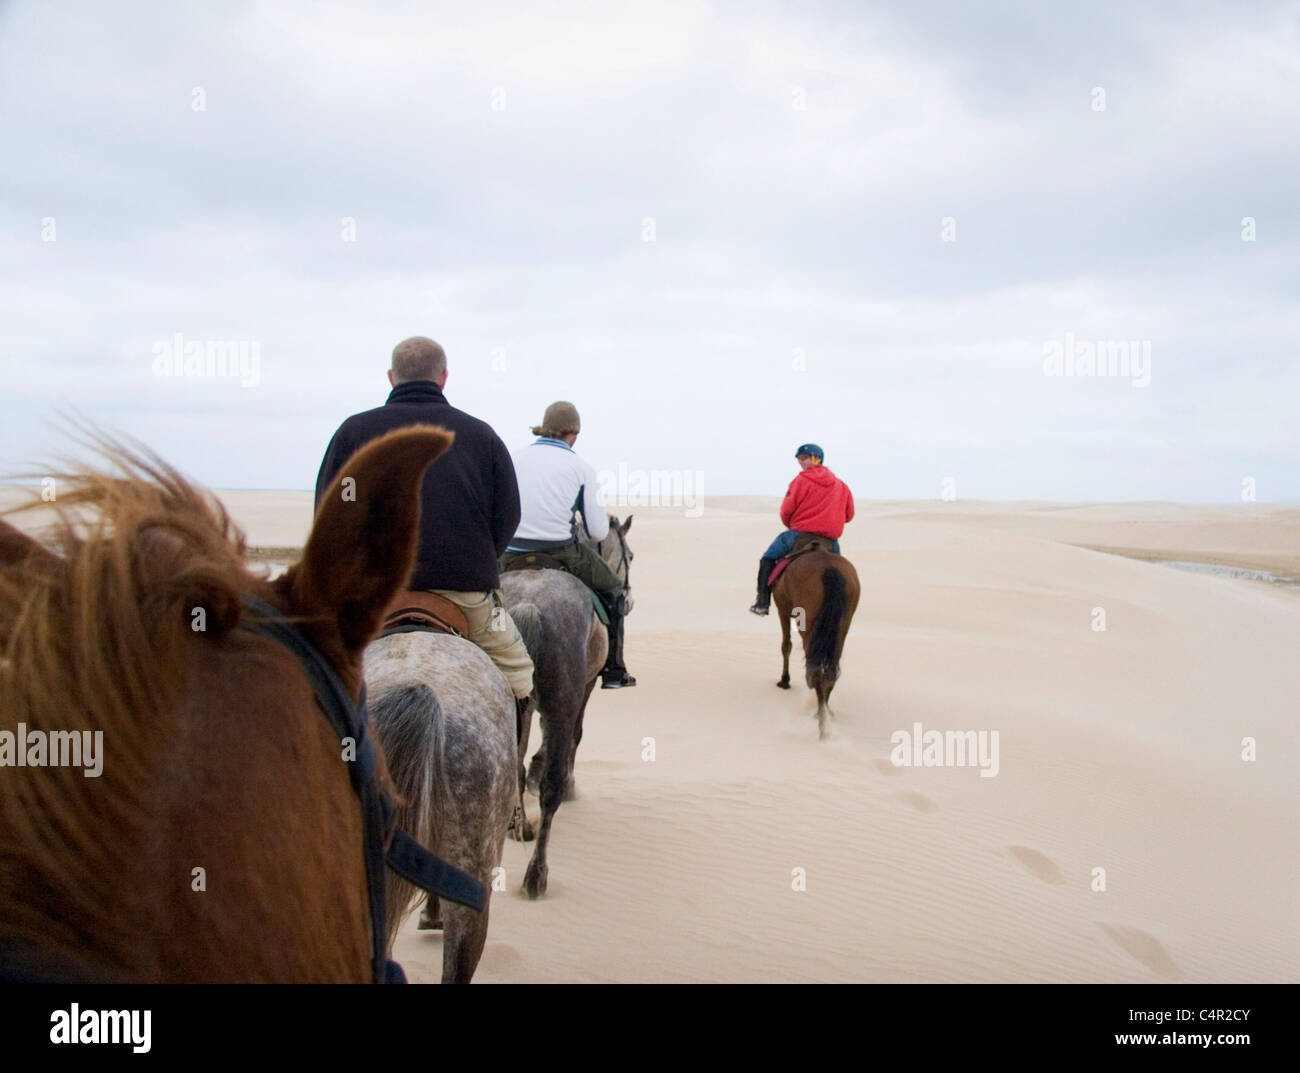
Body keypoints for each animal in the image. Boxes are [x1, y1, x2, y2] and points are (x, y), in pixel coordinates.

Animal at [496, 515, 634, 900]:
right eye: (630, 556)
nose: (629, 598)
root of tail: (529, 604)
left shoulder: (527, 703)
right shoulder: (584, 687)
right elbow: (576, 735)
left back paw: (521, 827)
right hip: (565, 694)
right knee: (551, 787)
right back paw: (536, 876)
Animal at [769, 535, 863, 738]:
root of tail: (830, 570)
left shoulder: (782, 608)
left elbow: (786, 645)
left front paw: (784, 680)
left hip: (808, 623)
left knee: (814, 667)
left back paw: (821, 724)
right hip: (842, 626)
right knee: (831, 668)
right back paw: (824, 713)